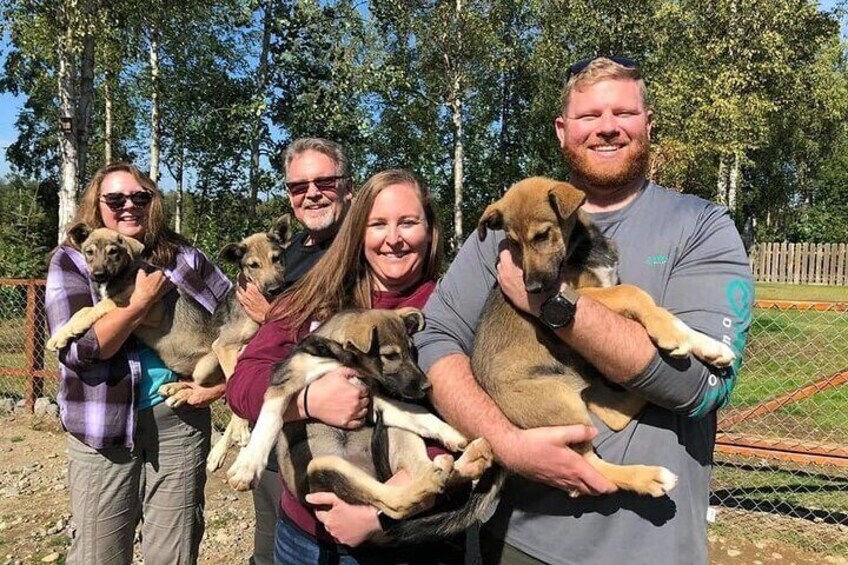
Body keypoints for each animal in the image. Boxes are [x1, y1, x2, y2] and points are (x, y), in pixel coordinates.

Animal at [227, 308, 490, 540]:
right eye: (390, 355)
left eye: (412, 351)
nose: (428, 387)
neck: (337, 358)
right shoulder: (283, 383)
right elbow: (270, 421)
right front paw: (247, 466)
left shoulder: (372, 401)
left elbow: (417, 414)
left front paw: (451, 433)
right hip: (323, 468)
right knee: (395, 502)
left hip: (397, 437)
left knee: (428, 476)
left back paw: (466, 461)